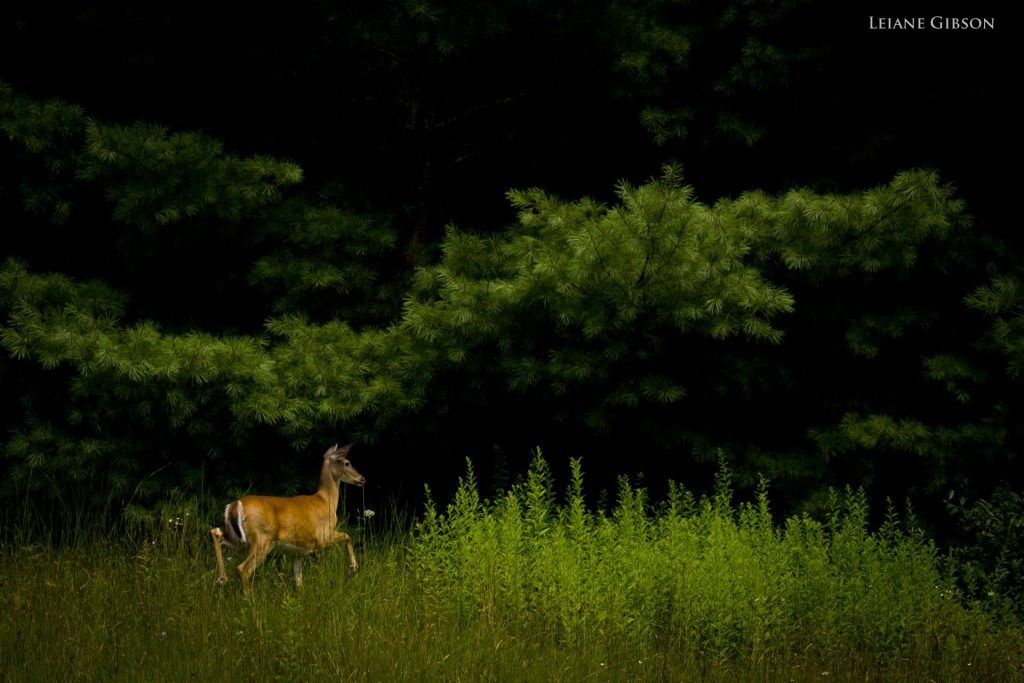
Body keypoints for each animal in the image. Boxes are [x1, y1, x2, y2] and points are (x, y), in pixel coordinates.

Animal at [210, 443, 366, 594]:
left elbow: (298, 581)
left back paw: (221, 579)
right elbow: (347, 535)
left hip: (239, 540)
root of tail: (235, 505)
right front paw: (353, 567)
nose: (362, 479)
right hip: (262, 538)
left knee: (216, 533)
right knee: (243, 569)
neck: (326, 501)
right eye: (347, 463)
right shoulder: (323, 536)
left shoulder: (297, 552)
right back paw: (248, 598)